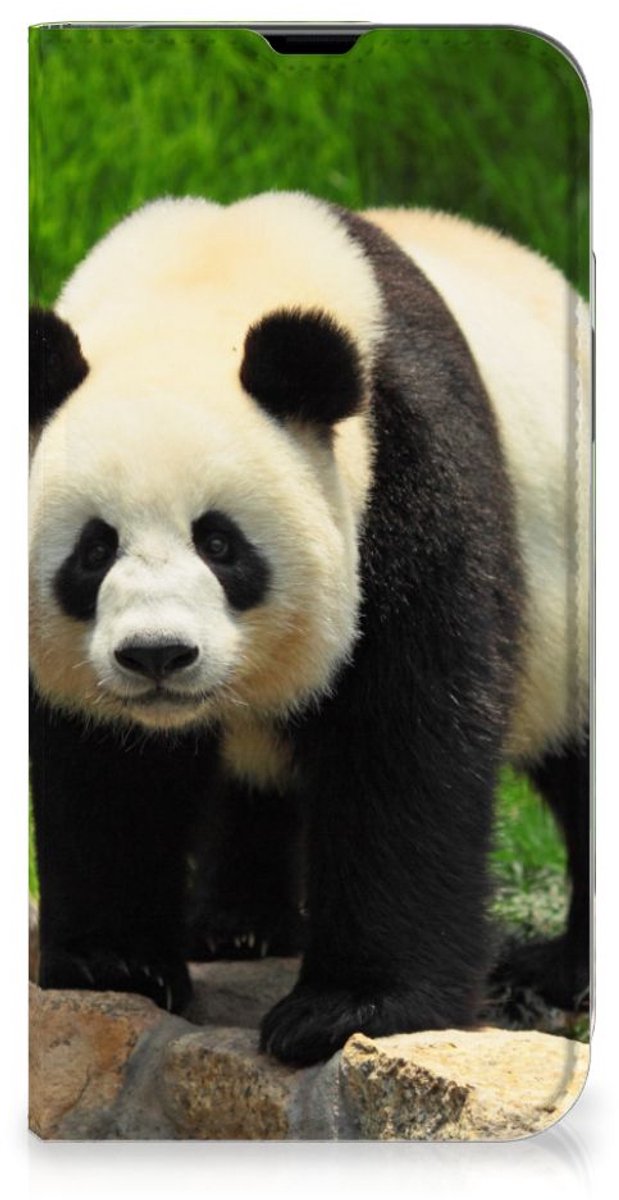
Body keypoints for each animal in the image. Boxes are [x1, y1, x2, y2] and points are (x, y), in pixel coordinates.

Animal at [29, 191, 590, 1066]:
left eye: (220, 543)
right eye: (94, 550)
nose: (157, 655)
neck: (202, 284)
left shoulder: (408, 470)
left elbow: (404, 735)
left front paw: (350, 1009)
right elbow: (105, 765)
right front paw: (112, 964)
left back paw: (559, 972)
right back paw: (236, 926)